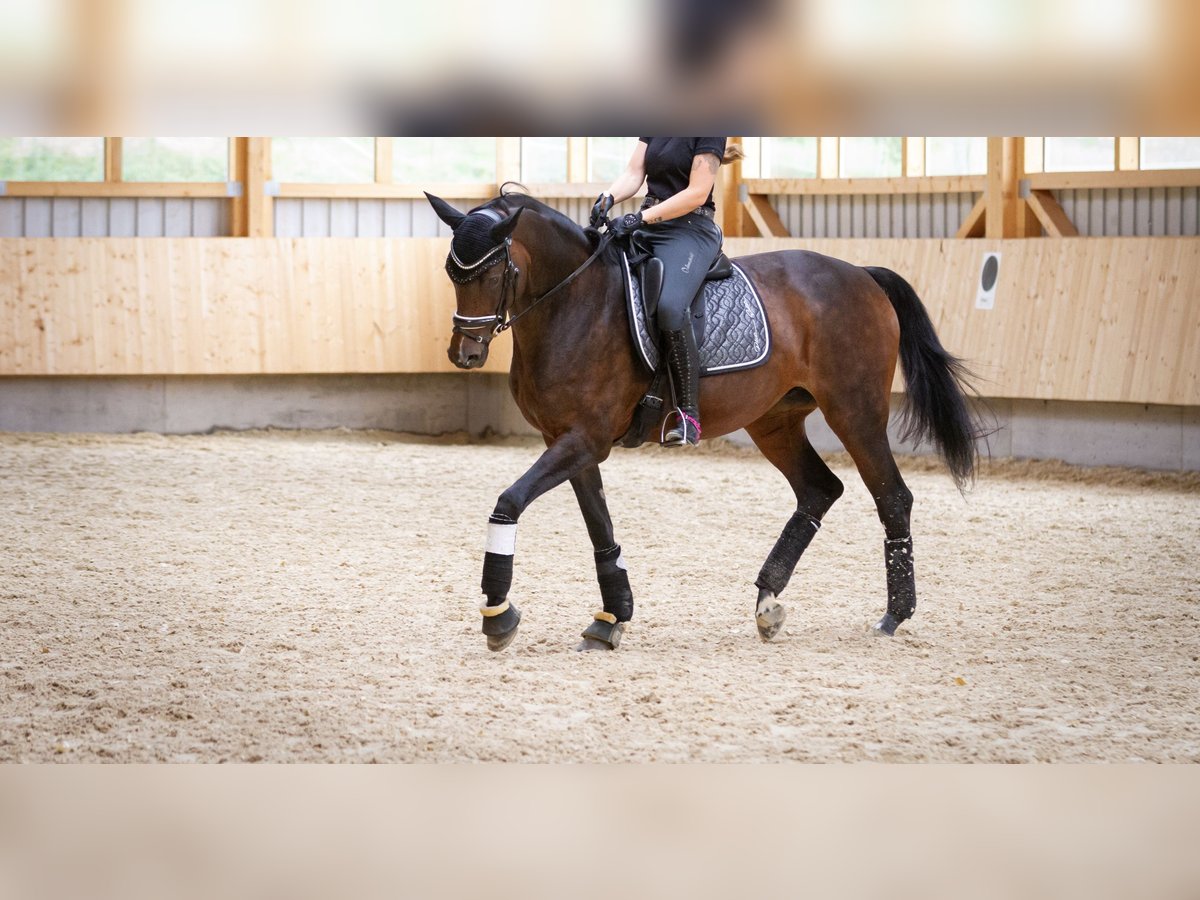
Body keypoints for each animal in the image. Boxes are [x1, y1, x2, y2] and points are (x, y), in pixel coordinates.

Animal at [427, 188, 979, 657]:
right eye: (452, 274)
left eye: (493, 275)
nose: (464, 355)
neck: (573, 304)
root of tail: (861, 274)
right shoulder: (566, 439)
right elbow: (598, 524)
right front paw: (611, 618)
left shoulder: (585, 439)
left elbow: (509, 502)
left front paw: (498, 614)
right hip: (775, 421)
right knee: (819, 489)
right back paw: (767, 602)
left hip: (855, 411)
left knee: (892, 497)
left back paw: (894, 615)